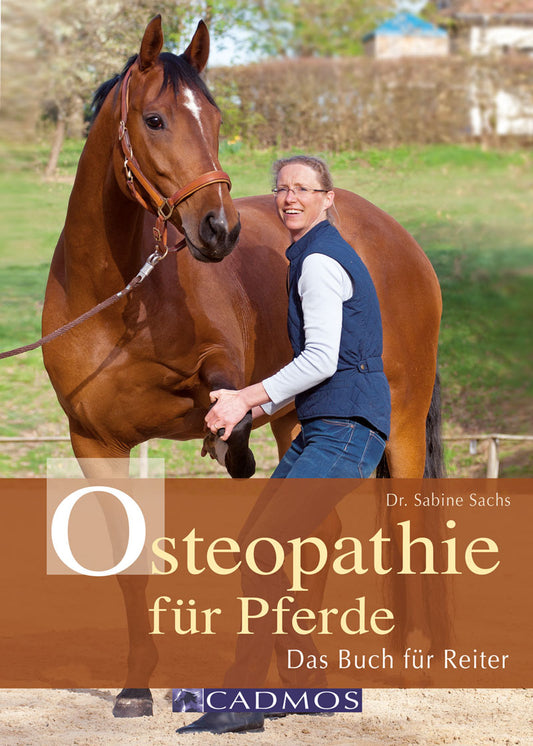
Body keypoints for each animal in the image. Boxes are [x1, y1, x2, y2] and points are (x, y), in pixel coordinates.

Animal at [42, 15, 443, 717]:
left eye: (217, 118)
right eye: (154, 120)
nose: (218, 230)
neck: (115, 298)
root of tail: (398, 237)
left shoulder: (222, 370)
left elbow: (223, 395)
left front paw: (230, 443)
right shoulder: (95, 441)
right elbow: (129, 562)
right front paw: (135, 686)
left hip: (404, 418)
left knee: (405, 522)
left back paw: (407, 656)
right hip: (300, 421)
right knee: (321, 530)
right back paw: (300, 664)